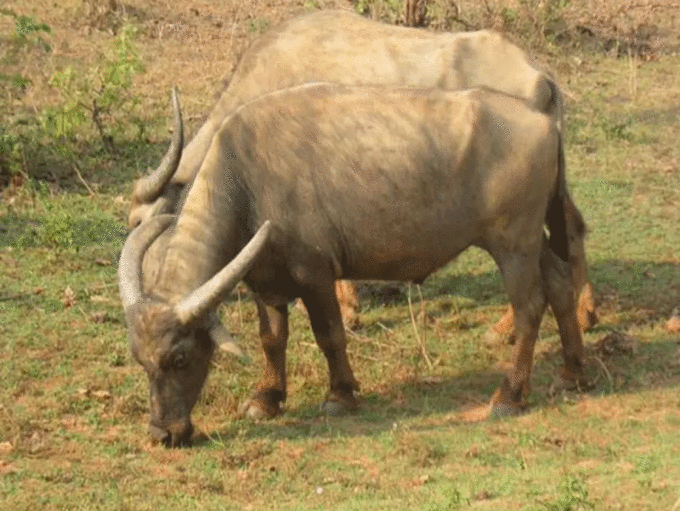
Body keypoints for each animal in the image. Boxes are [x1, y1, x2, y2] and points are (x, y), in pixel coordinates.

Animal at [119, 84, 588, 448]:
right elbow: (272, 339)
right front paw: (267, 398)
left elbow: (329, 335)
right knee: (560, 283)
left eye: (180, 357)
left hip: (513, 245)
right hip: (533, 242)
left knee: (530, 306)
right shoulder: (265, 281)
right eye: (140, 360)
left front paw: (340, 395)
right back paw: (572, 374)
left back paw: (509, 395)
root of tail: (544, 121)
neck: (247, 178)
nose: (163, 434)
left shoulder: (316, 274)